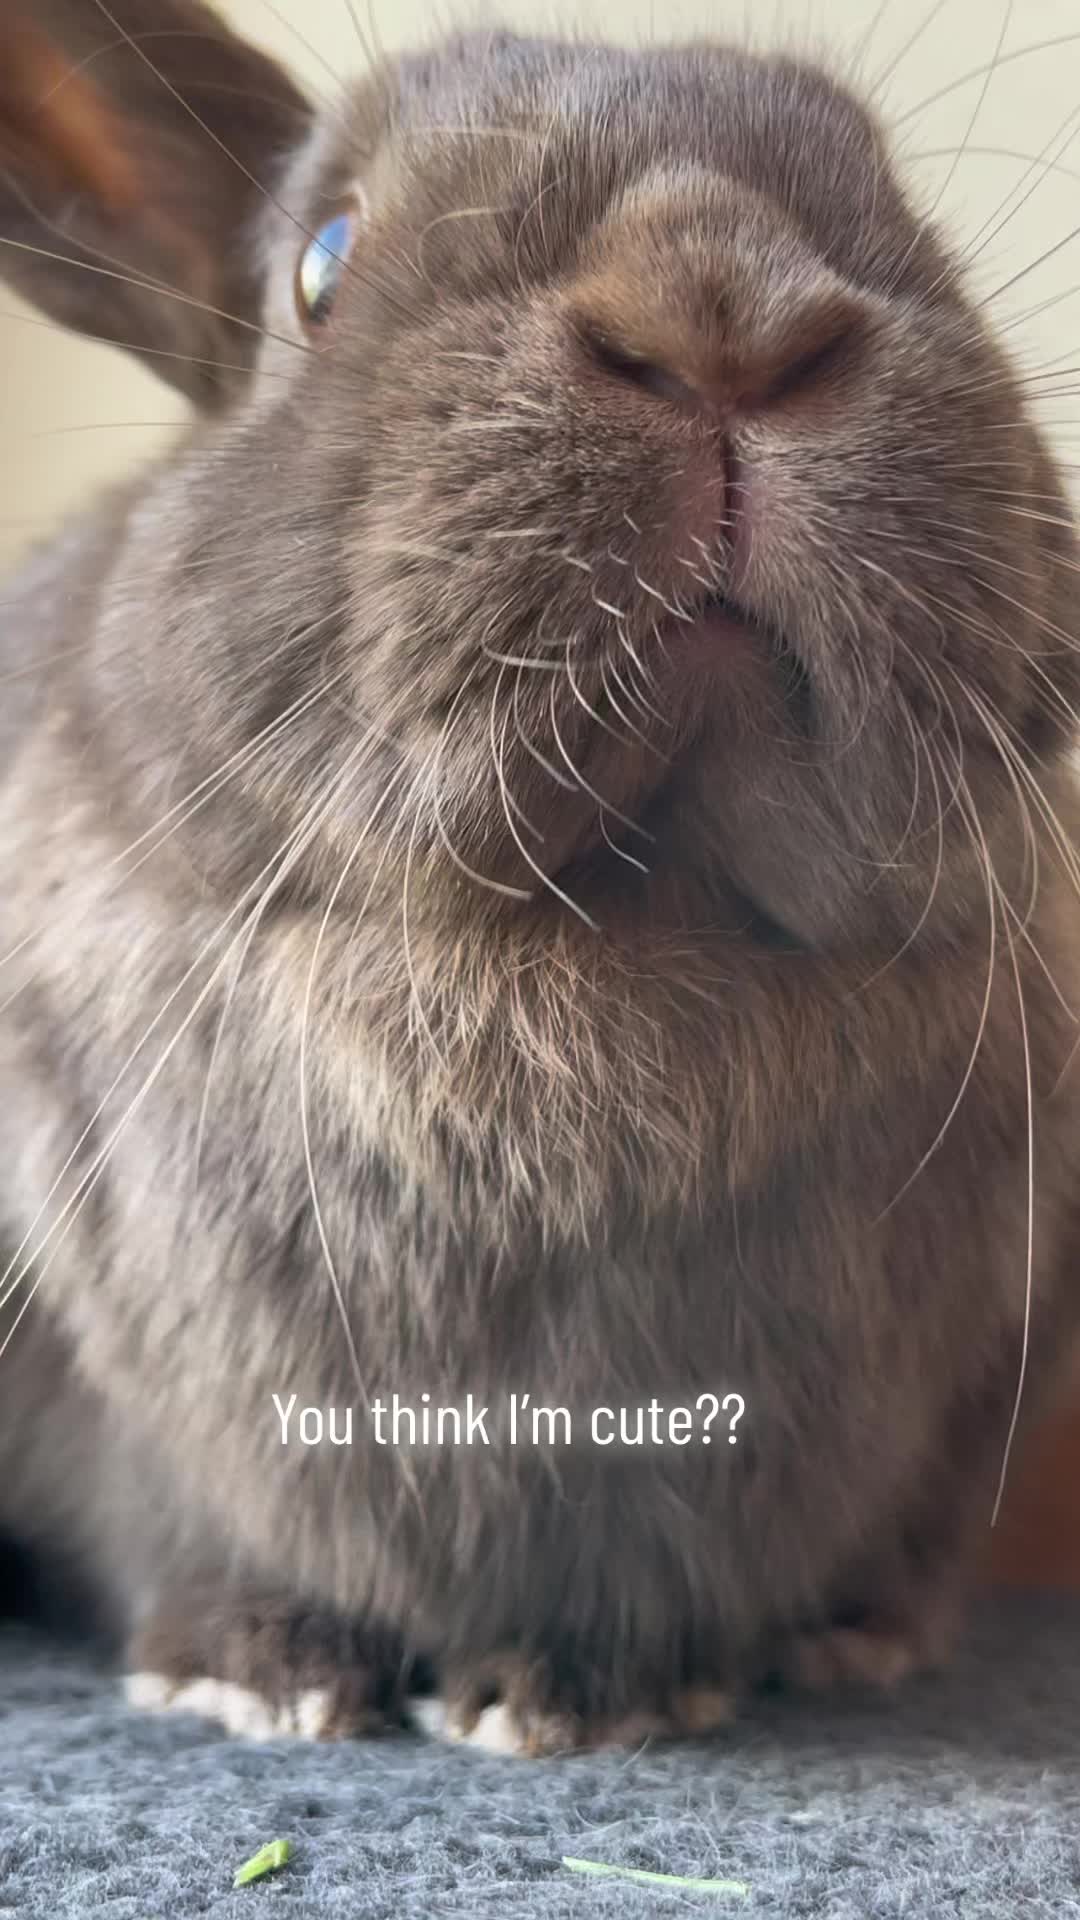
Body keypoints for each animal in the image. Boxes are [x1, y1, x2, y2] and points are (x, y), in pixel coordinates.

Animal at [1, 0, 1080, 1756]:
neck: (614, 921)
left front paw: (584, 1697)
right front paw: (255, 1672)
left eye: (907, 215)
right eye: (324, 262)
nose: (720, 306)